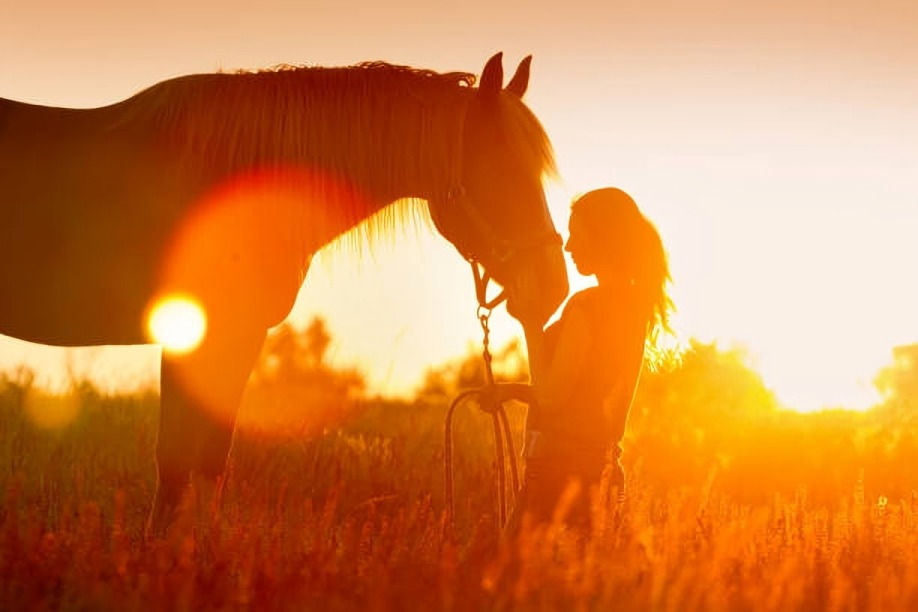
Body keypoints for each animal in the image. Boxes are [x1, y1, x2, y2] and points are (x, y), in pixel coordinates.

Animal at [0, 52, 569, 532]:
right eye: (500, 170)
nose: (552, 286)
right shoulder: (203, 334)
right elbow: (178, 460)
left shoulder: (235, 337)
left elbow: (209, 461)